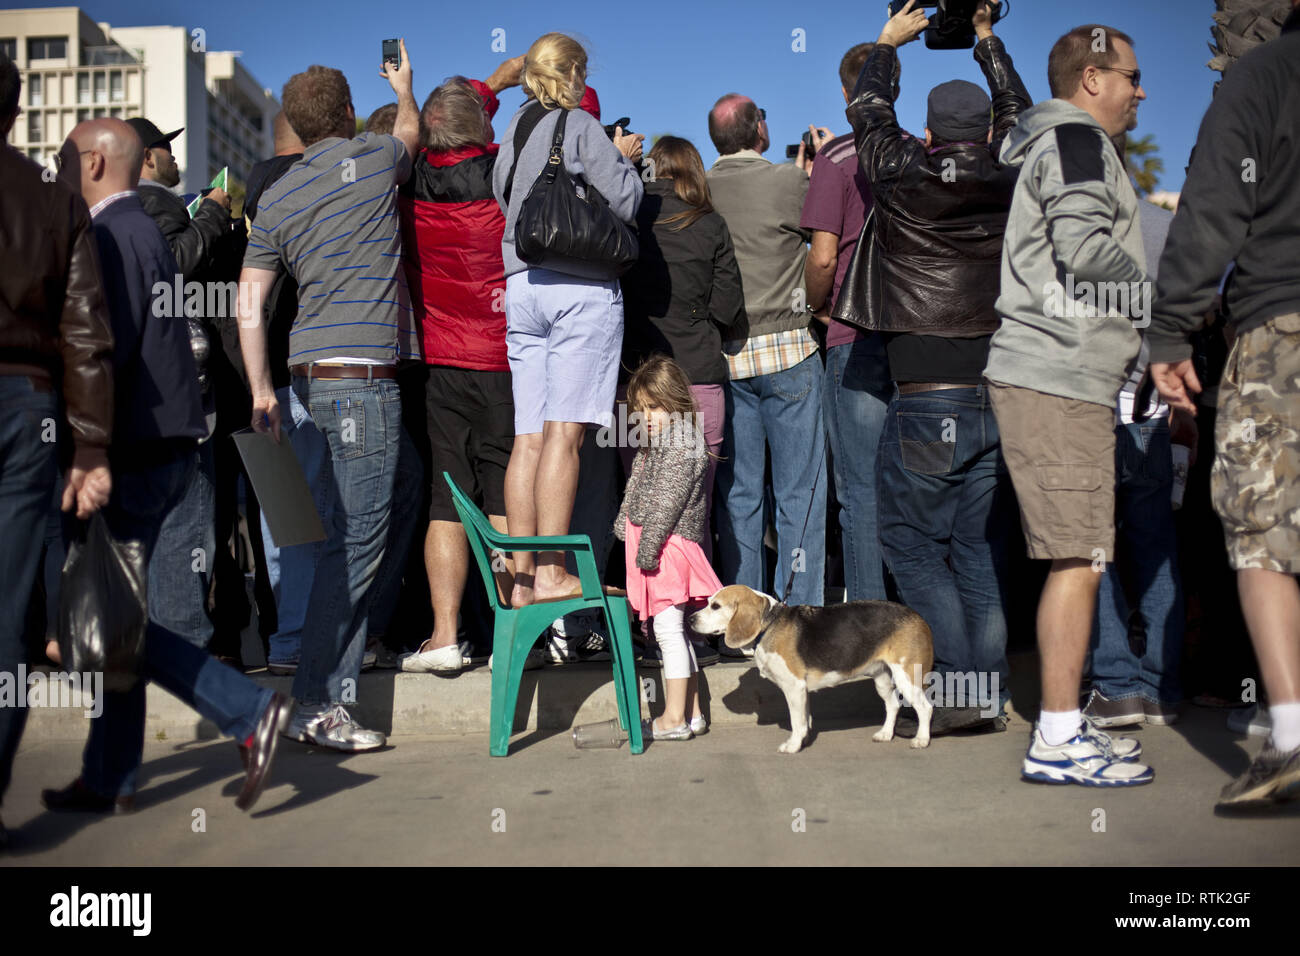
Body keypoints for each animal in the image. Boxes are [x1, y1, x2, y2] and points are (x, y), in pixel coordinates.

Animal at [691, 582, 935, 754]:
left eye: (715, 606)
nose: (691, 619)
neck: (769, 624)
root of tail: (918, 616)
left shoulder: (794, 687)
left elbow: (795, 720)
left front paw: (792, 746)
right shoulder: (802, 690)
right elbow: (804, 719)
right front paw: (803, 740)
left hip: (907, 676)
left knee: (925, 708)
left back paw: (922, 739)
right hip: (882, 677)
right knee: (893, 704)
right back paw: (885, 734)